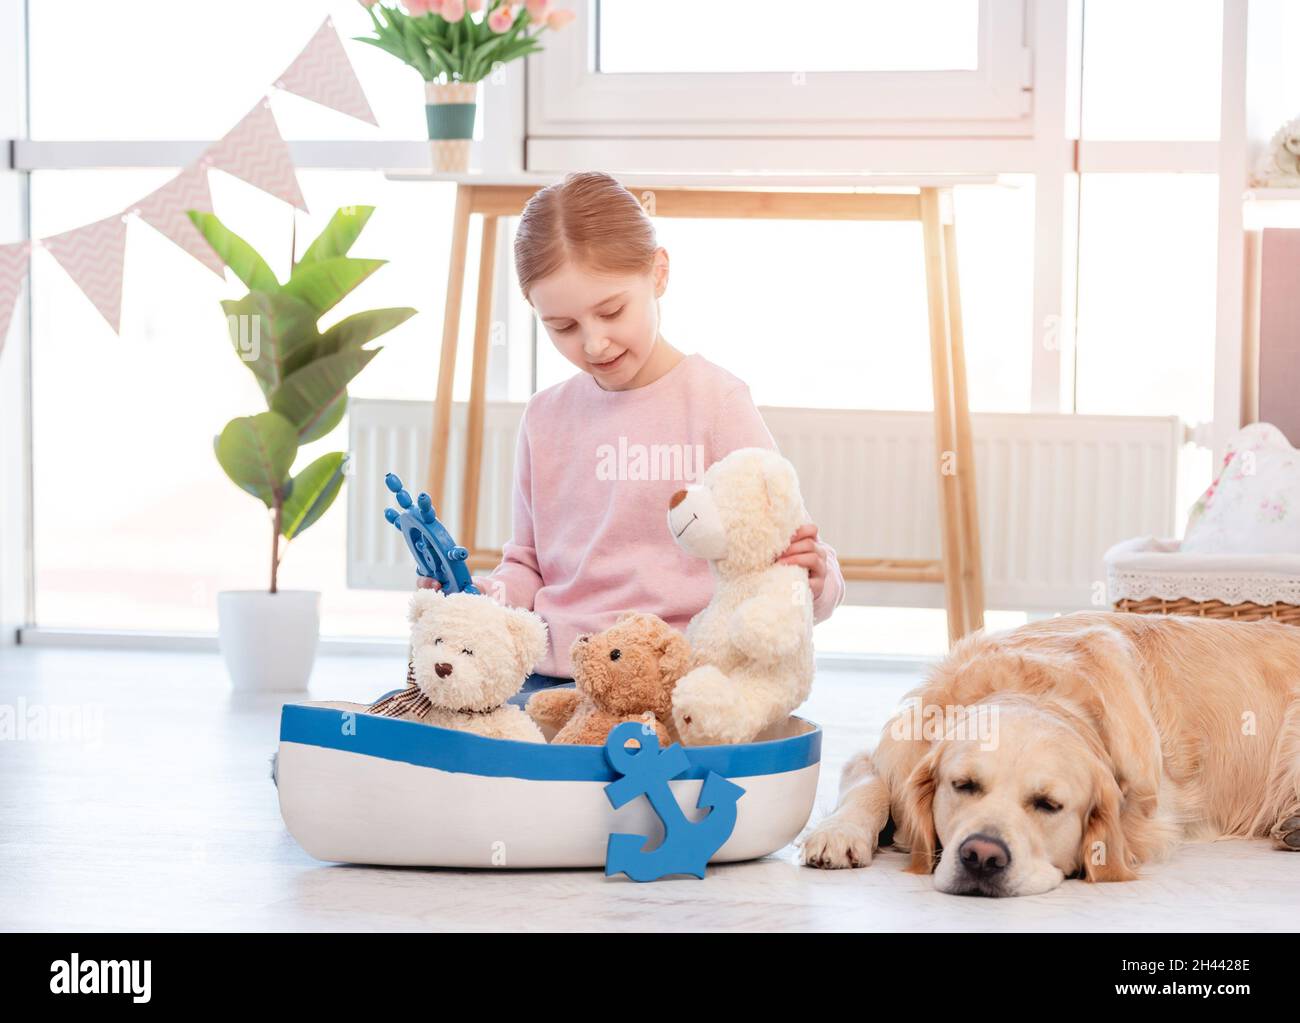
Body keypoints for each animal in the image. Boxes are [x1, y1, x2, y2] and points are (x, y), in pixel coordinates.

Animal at [800, 610, 1300, 894]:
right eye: (963, 785)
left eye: (1049, 805)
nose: (982, 857)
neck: (1038, 690)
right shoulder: (894, 751)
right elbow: (870, 784)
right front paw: (838, 833)